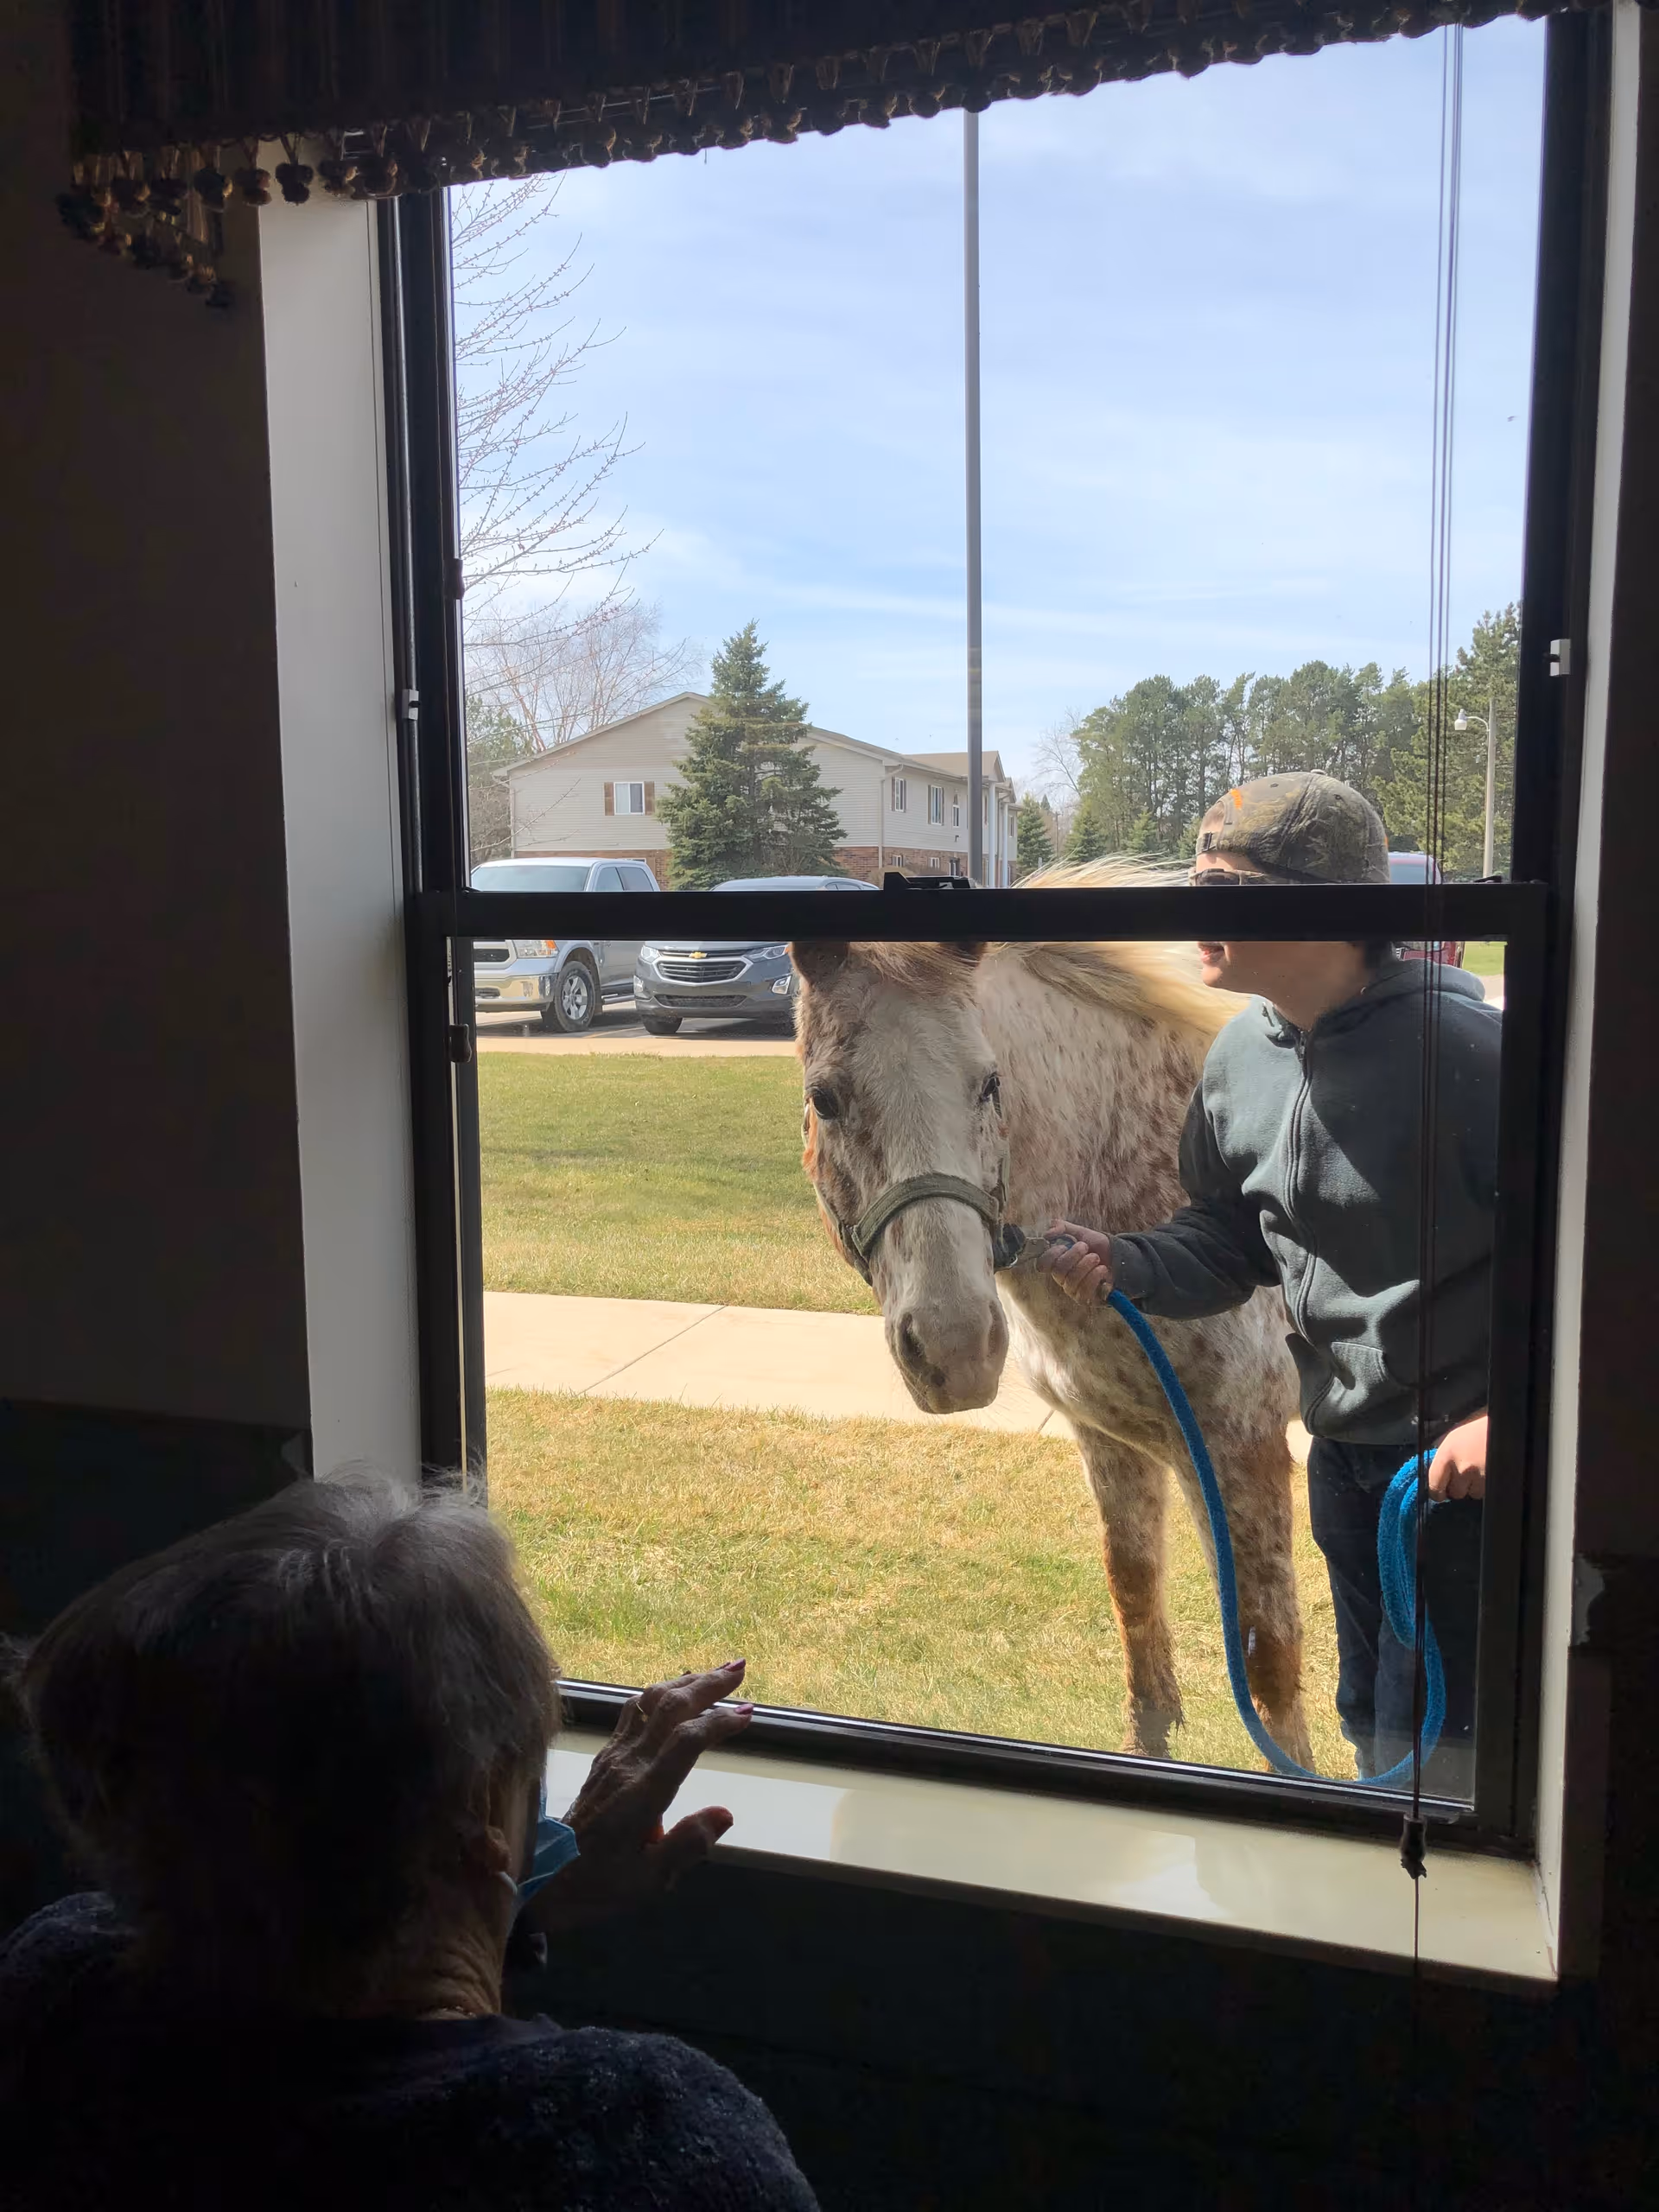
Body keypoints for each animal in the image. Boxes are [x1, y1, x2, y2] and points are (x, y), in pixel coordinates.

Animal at [791, 865, 1312, 1766]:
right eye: (825, 1098)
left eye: (990, 1083)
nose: (957, 1348)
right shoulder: (1119, 1443)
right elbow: (1138, 1610)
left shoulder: (1244, 1450)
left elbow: (1270, 1668)